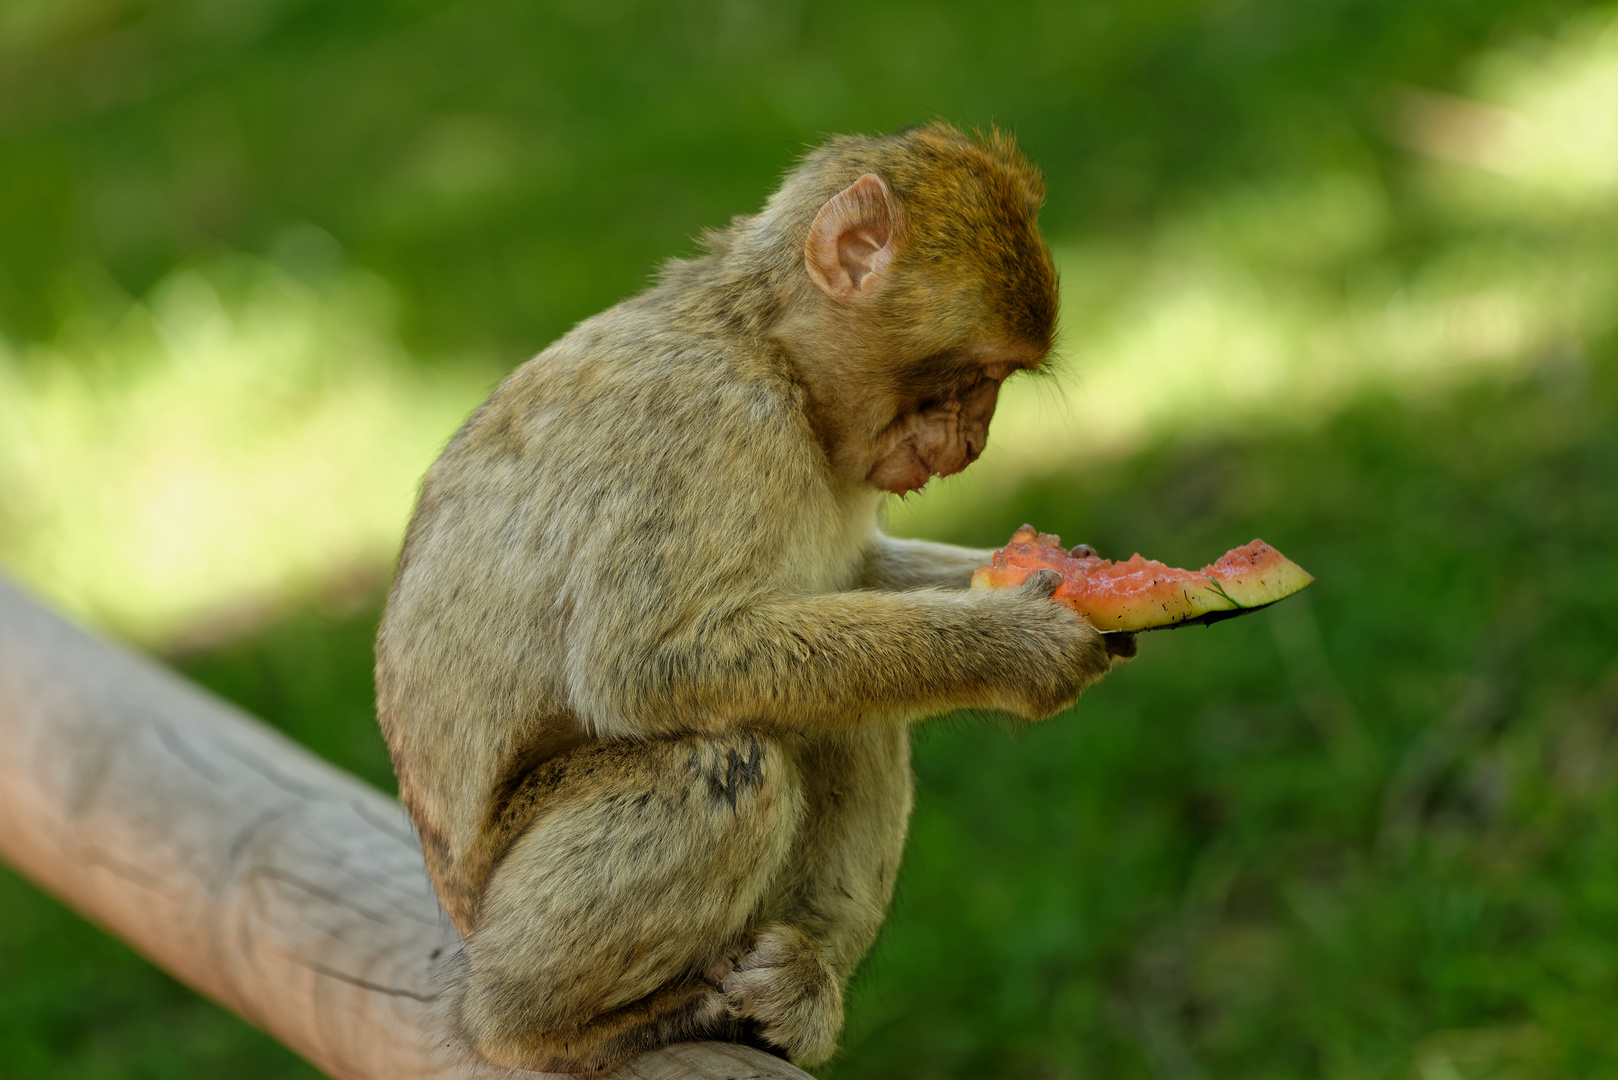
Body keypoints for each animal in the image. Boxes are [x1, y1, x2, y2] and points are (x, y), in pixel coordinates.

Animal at [378, 124, 1139, 1075]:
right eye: (975, 377)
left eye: (998, 384)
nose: (972, 441)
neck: (769, 349)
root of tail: (458, 907)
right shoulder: (706, 421)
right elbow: (645, 664)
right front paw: (1018, 645)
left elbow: (853, 581)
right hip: (501, 895)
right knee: (727, 764)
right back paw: (541, 1028)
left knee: (845, 712)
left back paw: (803, 973)